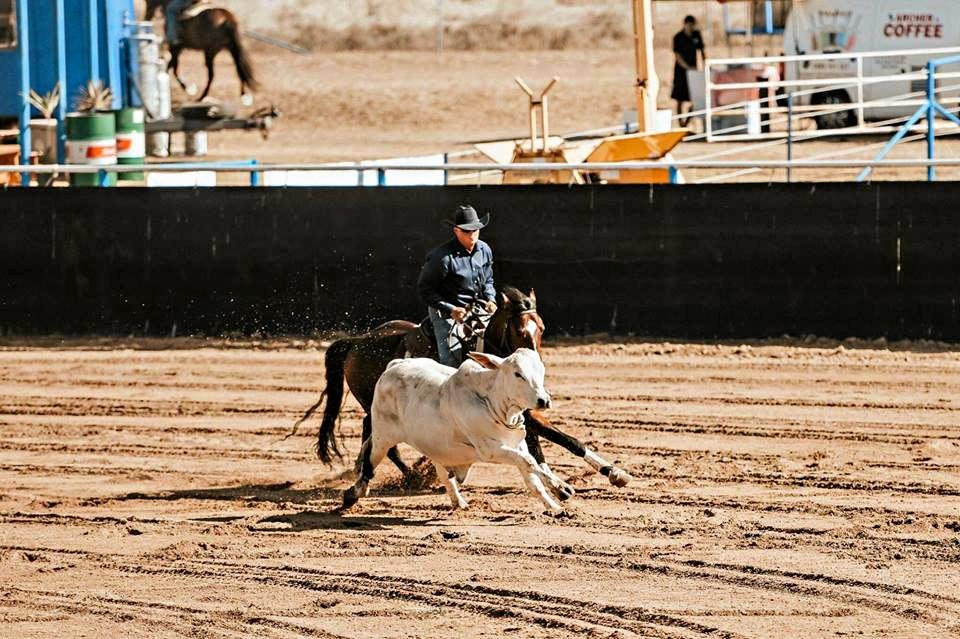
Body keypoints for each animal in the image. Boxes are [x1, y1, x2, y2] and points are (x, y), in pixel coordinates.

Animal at [296, 288, 632, 492]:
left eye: (542, 328)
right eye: (519, 330)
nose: (536, 365)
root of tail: (357, 342)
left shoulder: (526, 412)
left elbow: (560, 443)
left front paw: (611, 472)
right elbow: (548, 446)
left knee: (372, 432)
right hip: (375, 404)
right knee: (383, 439)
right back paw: (412, 477)